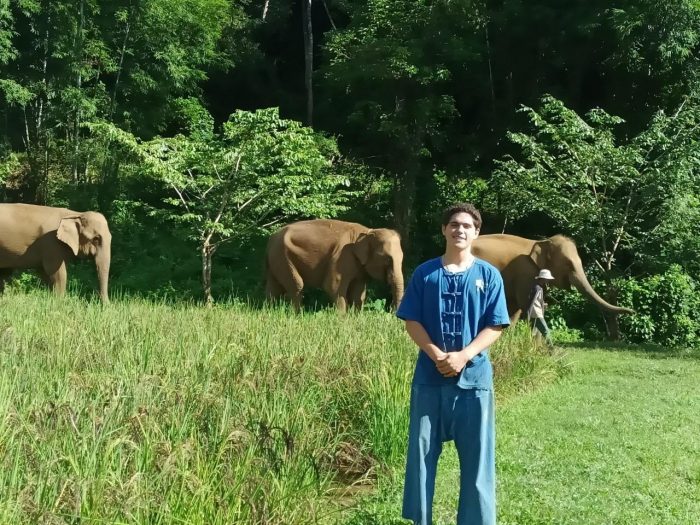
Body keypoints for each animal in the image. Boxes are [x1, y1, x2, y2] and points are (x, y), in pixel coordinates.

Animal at [264, 218, 404, 312]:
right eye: (387, 259)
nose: (391, 310)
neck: (367, 231)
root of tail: (271, 239)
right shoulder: (342, 257)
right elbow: (333, 287)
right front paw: (343, 319)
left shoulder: (358, 267)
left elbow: (359, 291)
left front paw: (356, 317)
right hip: (282, 256)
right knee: (296, 286)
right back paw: (298, 315)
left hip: (276, 260)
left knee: (274, 287)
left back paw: (270, 312)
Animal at [470, 234, 636, 324]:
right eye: (568, 264)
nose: (633, 312)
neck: (541, 242)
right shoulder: (525, 274)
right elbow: (524, 305)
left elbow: (513, 310)